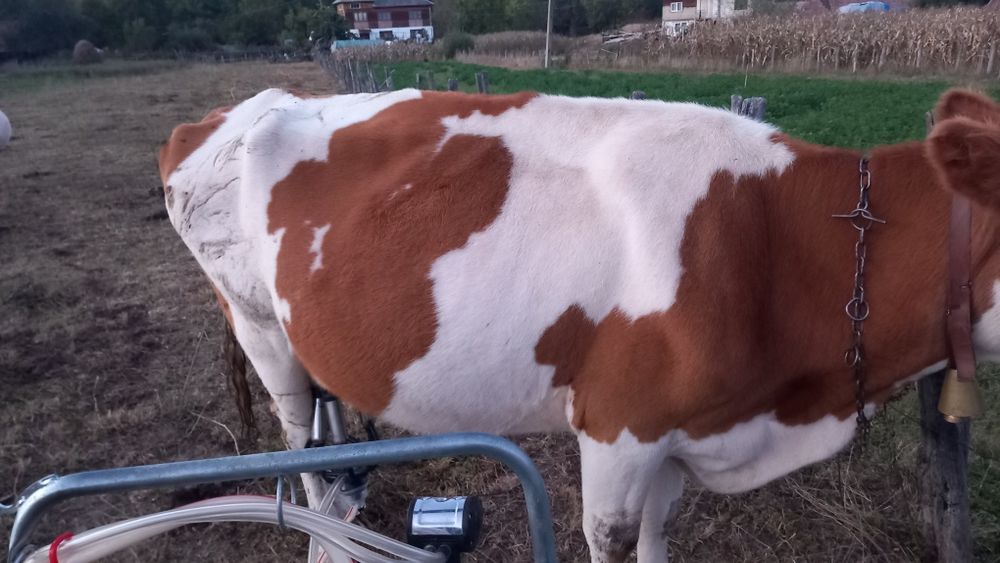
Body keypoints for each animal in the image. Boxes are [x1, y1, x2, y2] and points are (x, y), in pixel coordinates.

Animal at [158, 87, 1000, 562]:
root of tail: (236, 109)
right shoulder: (616, 424)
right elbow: (613, 539)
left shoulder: (676, 429)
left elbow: (660, 538)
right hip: (259, 326)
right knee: (297, 444)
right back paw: (322, 530)